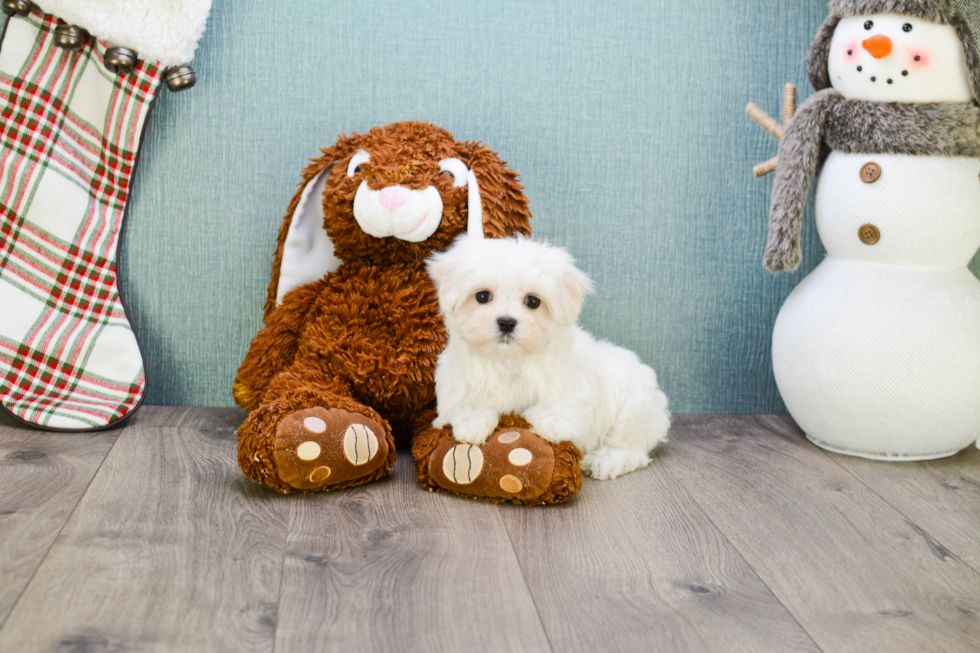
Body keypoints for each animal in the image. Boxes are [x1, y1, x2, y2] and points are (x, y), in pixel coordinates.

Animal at [430, 234, 672, 478]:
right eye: (482, 296)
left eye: (533, 301)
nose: (506, 322)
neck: (509, 360)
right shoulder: (456, 383)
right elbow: (462, 406)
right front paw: (472, 421)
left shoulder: (572, 390)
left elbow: (560, 411)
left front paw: (549, 421)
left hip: (634, 409)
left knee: (631, 447)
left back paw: (606, 460)